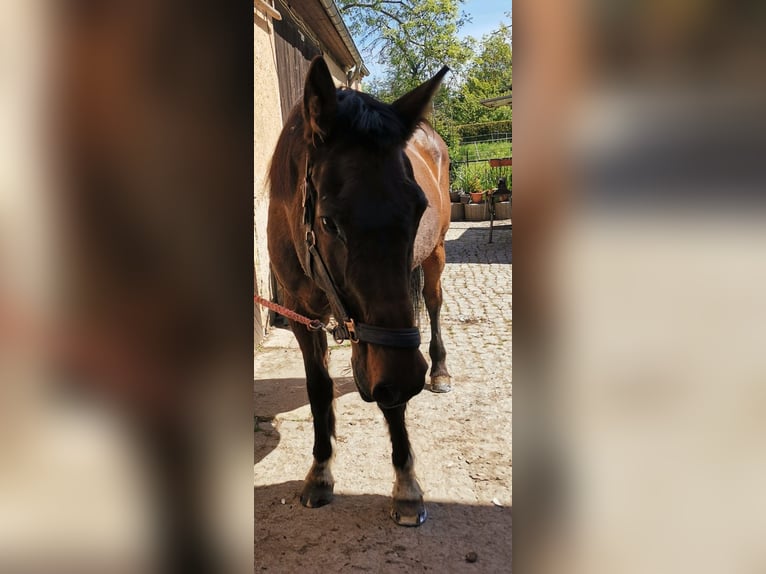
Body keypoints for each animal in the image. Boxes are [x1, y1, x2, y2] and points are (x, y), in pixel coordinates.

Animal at [267, 56, 452, 526]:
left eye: (418, 208)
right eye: (328, 221)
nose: (409, 379)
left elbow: (392, 400)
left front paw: (406, 485)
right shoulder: (301, 315)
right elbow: (319, 390)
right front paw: (319, 472)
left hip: (436, 254)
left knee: (434, 305)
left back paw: (440, 370)